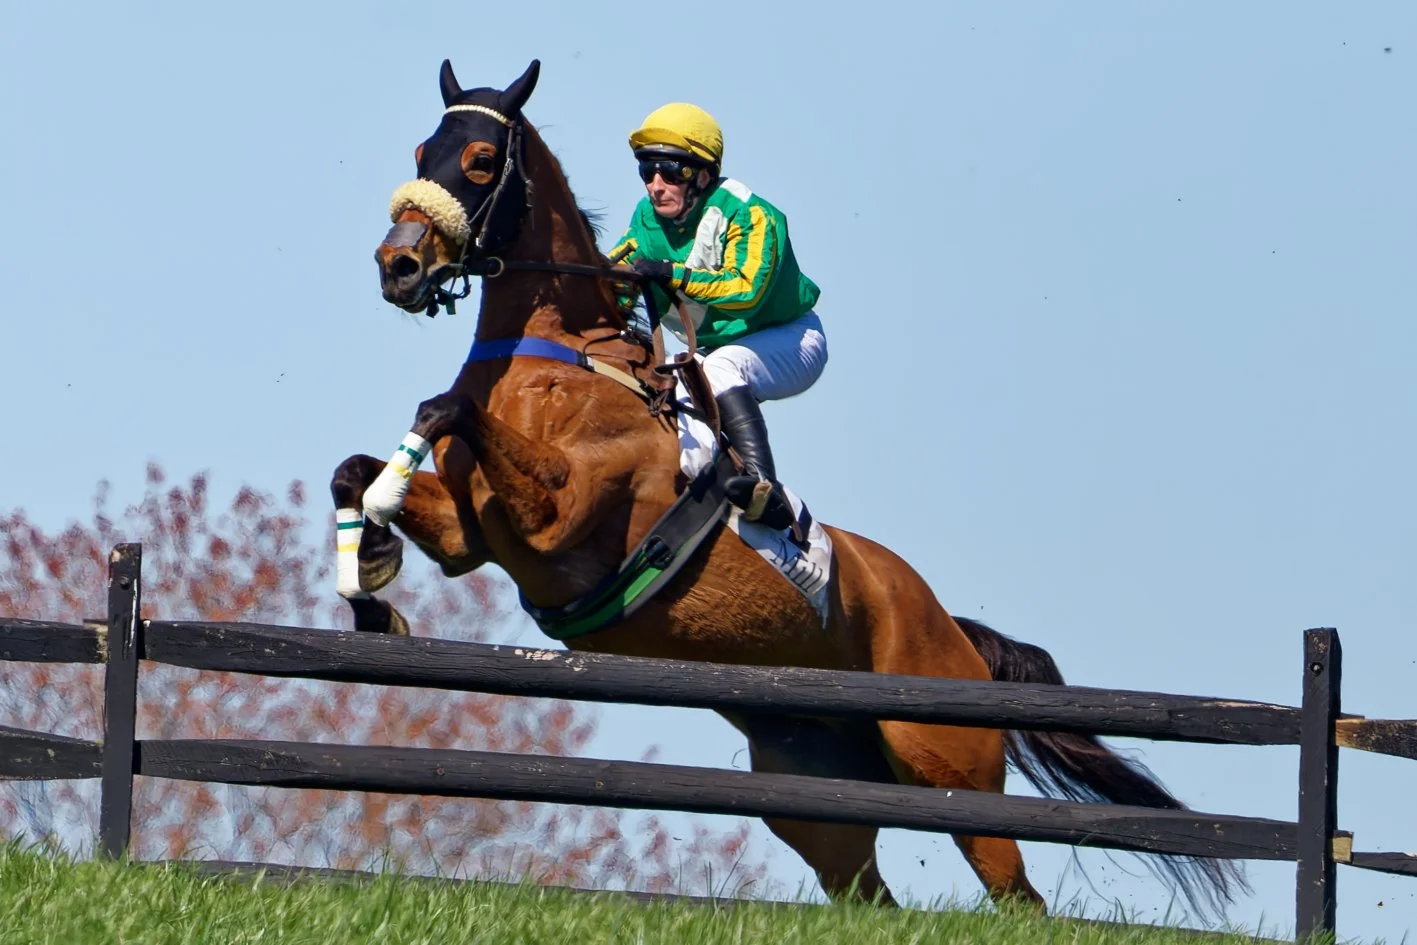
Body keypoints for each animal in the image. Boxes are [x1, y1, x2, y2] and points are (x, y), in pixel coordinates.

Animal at [328, 57, 1247, 918]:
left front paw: (377, 546)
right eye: (422, 153)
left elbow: (443, 409)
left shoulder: (563, 518)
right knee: (867, 888)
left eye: (481, 160)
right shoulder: (473, 536)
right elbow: (361, 470)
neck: (555, 358)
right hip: (813, 791)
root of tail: (951, 628)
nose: (398, 265)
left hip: (942, 759)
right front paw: (369, 582)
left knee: (1013, 888)